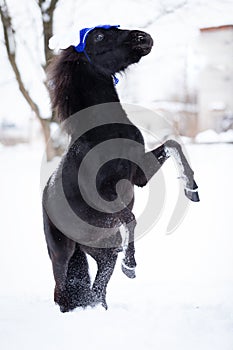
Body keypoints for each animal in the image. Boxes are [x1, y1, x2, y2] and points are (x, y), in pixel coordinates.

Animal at [42, 26, 199, 314]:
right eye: (98, 36)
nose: (143, 37)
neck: (102, 132)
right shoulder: (107, 197)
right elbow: (131, 217)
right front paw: (131, 264)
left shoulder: (139, 174)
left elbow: (173, 144)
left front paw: (192, 189)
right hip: (61, 252)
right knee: (62, 288)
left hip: (100, 250)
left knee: (98, 286)